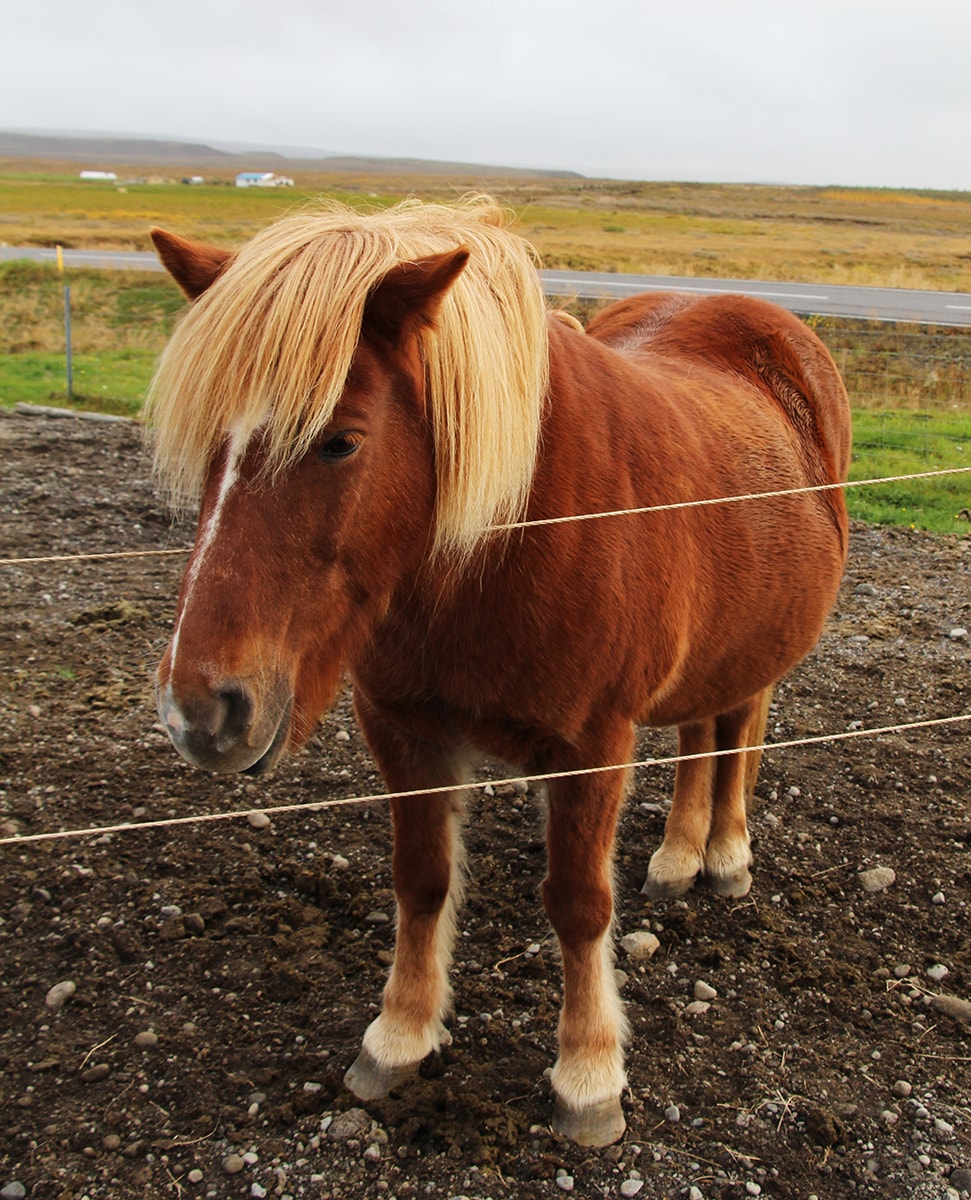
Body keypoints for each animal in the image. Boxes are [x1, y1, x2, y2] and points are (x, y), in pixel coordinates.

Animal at [145, 194, 849, 1142]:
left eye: (340, 442)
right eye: (212, 443)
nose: (200, 711)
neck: (508, 538)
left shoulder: (592, 747)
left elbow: (578, 905)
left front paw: (587, 1076)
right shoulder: (403, 729)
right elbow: (421, 881)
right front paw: (398, 1036)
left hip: (758, 644)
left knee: (737, 730)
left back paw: (725, 854)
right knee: (700, 732)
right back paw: (675, 855)